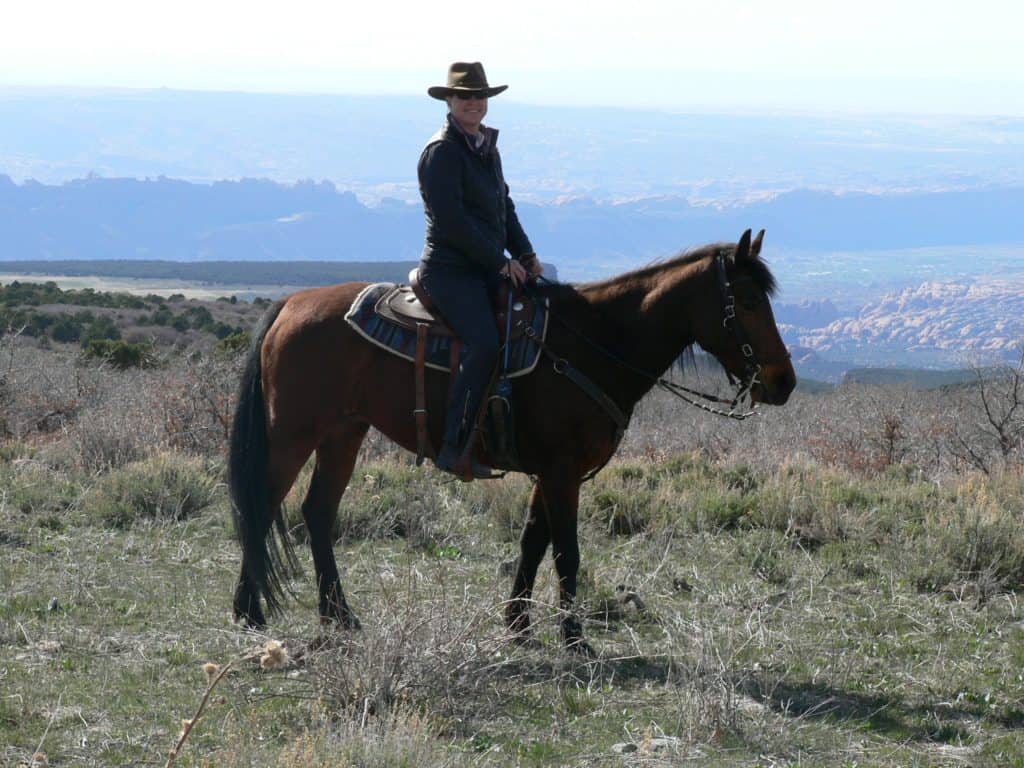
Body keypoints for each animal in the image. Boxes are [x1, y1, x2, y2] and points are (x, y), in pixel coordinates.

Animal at [228, 231, 794, 651]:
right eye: (746, 300)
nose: (783, 381)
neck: (595, 344)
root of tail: (290, 303)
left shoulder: (551, 471)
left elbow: (532, 543)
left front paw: (518, 625)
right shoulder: (562, 472)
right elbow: (566, 552)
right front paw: (574, 638)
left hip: (343, 433)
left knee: (318, 511)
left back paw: (339, 615)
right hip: (293, 434)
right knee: (262, 506)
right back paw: (248, 610)